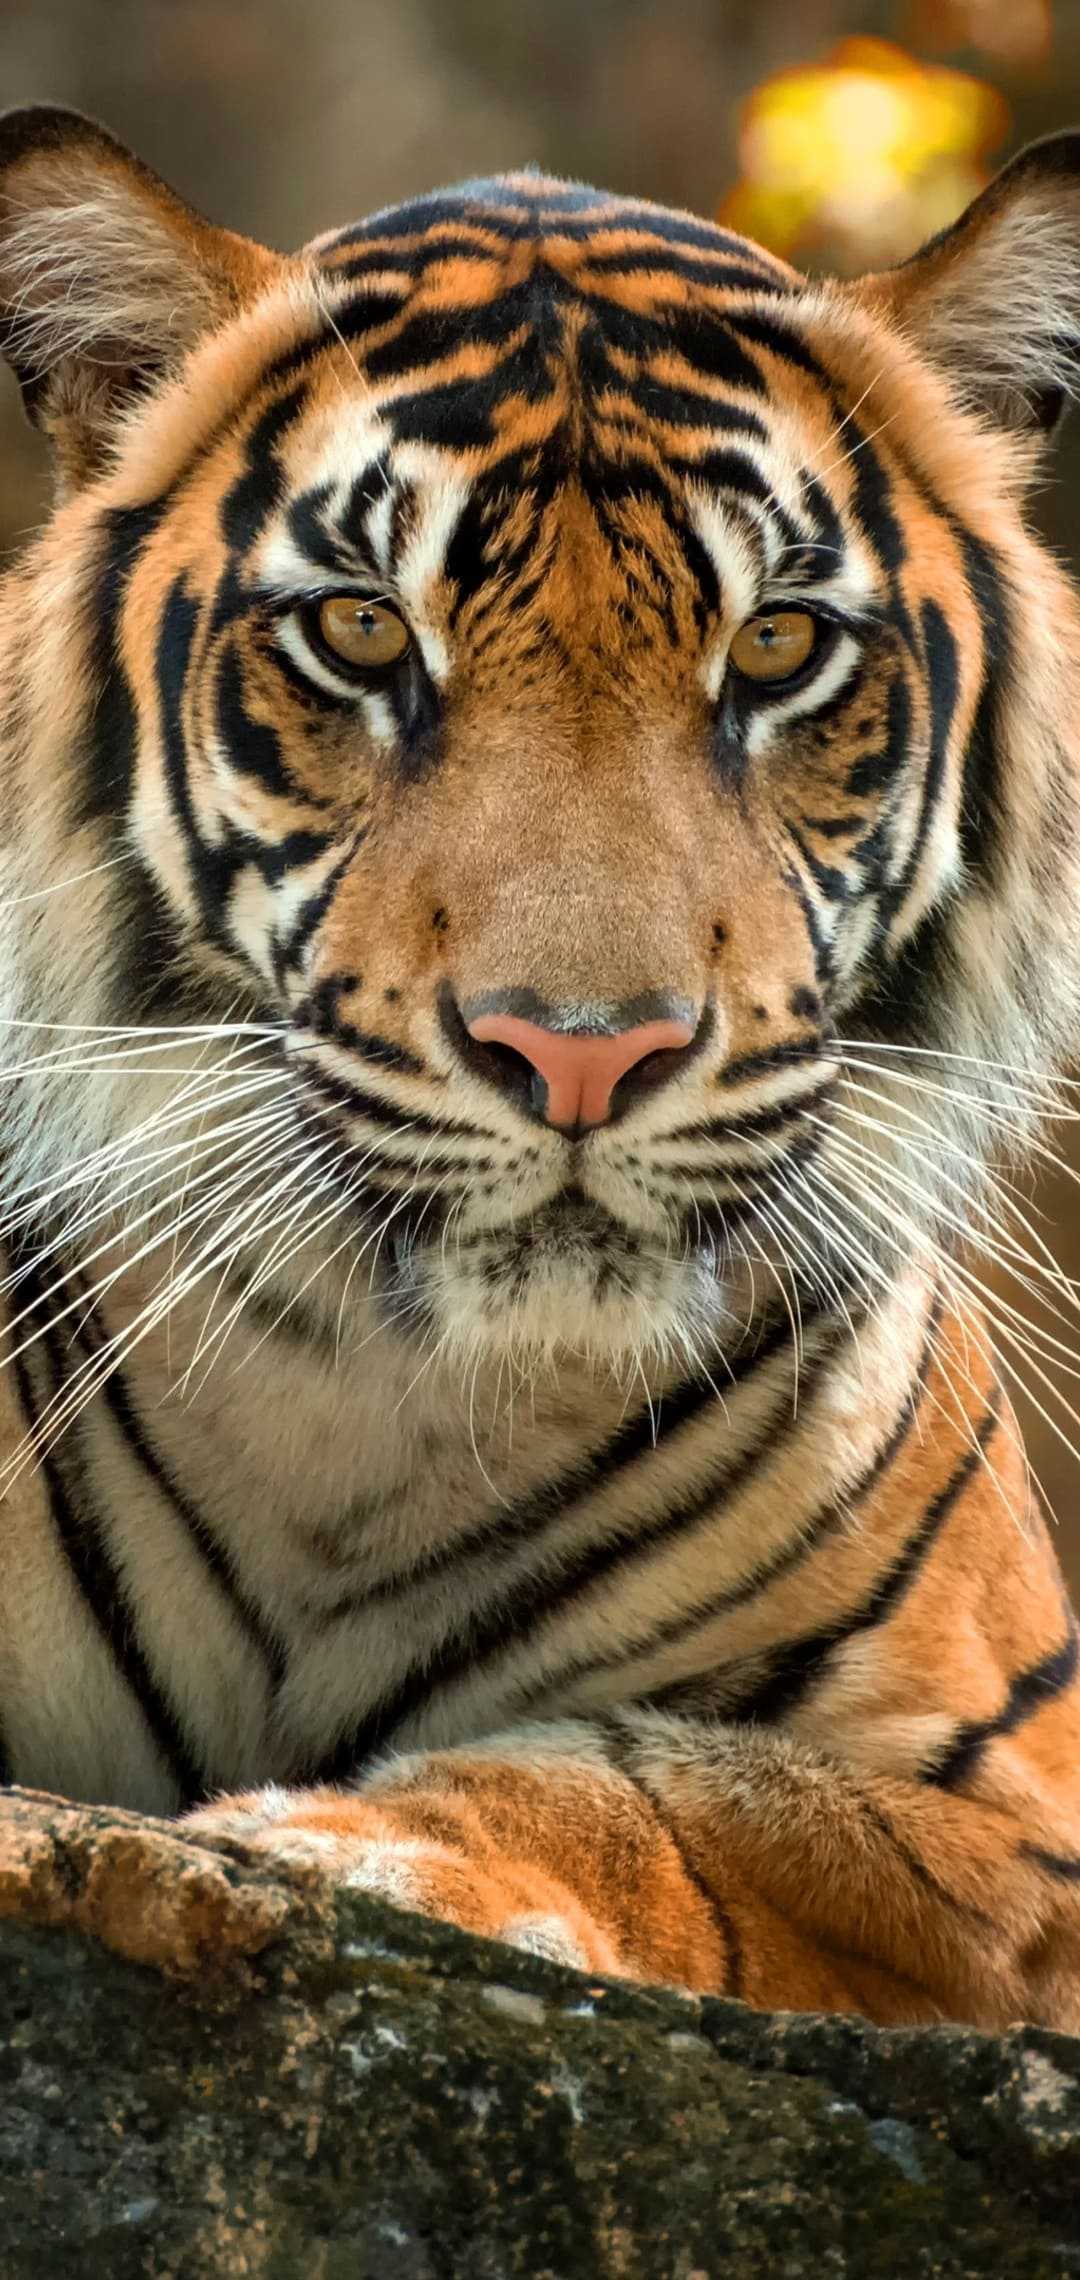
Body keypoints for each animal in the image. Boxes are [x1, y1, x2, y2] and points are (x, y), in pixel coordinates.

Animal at [0, 98, 1078, 2033]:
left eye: (777, 648)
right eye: (361, 631)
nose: (583, 1056)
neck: (382, 1407)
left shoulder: (1013, 1828)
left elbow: (669, 1789)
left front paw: (349, 1846)